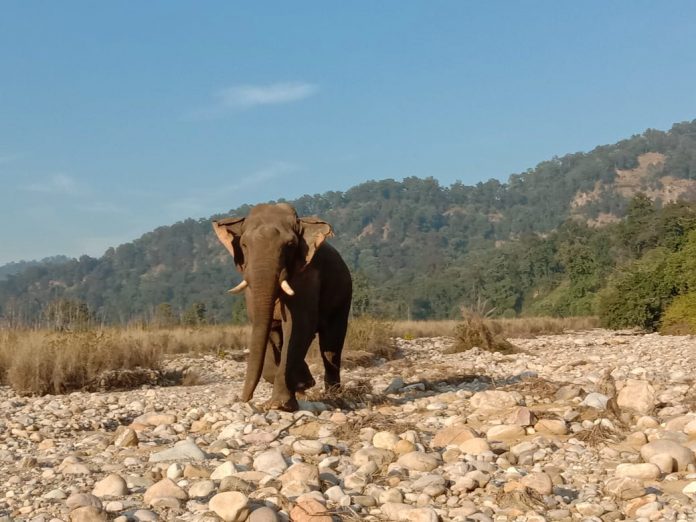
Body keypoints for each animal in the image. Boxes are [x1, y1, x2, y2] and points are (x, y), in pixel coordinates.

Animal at [213, 201, 354, 408]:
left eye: (290, 245)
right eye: (244, 244)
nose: (244, 399)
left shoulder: (307, 275)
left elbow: (300, 325)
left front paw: (279, 405)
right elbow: (268, 328)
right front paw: (300, 385)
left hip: (343, 296)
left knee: (331, 346)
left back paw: (333, 394)